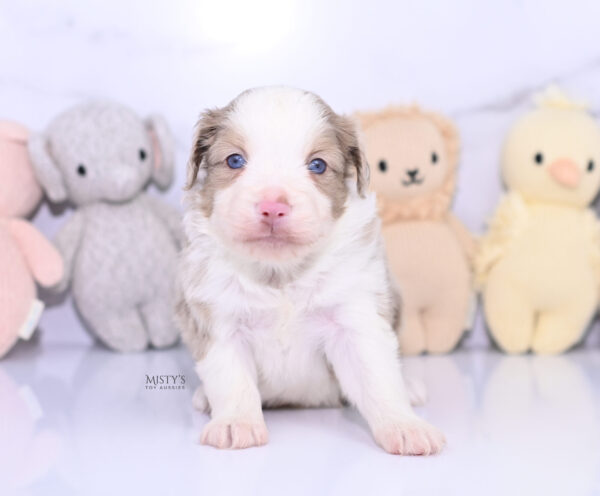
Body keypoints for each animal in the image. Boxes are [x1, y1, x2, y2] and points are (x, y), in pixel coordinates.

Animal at [173, 86, 446, 454]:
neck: (281, 274)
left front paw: (405, 426)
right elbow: (231, 378)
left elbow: (377, 377)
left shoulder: (353, 316)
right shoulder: (219, 316)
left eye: (317, 165)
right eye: (234, 160)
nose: (272, 207)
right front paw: (235, 423)